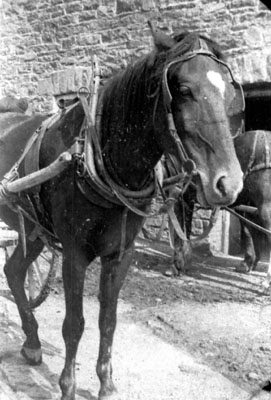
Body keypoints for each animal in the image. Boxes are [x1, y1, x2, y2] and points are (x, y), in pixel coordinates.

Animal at [0, 25, 244, 400]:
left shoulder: (121, 254)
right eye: (183, 90)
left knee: (13, 272)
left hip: (34, 231)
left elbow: (108, 320)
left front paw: (106, 382)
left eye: (230, 93)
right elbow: (75, 325)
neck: (96, 156)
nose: (228, 183)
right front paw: (68, 386)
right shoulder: (74, 254)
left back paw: (32, 342)